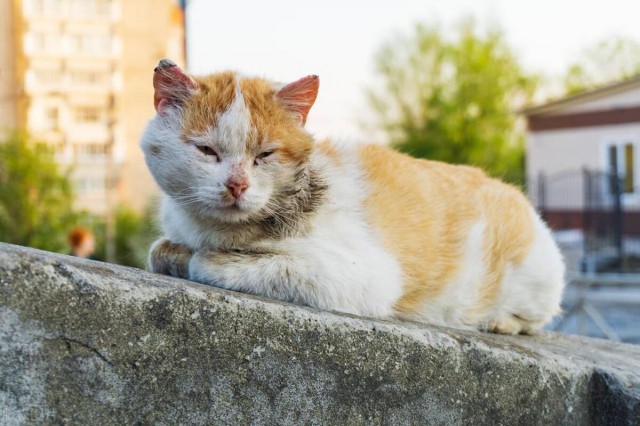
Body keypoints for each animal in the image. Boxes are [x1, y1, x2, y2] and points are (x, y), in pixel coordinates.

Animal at [141, 58, 564, 334]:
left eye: (265, 154)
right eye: (207, 151)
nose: (237, 185)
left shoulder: (364, 275)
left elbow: (225, 263)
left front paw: (202, 259)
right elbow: (158, 250)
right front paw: (175, 253)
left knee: (535, 318)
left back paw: (501, 322)